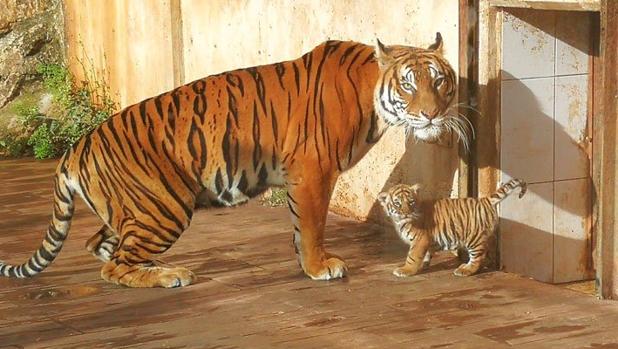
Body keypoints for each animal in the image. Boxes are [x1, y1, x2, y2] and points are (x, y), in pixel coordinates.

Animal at [0, 32, 466, 286]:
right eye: (408, 85)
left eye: (440, 81)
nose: (432, 114)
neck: (373, 95)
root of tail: (75, 148)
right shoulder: (313, 171)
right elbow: (312, 225)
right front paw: (319, 267)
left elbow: (300, 227)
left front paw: (306, 262)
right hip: (164, 206)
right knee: (114, 266)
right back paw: (171, 275)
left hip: (133, 210)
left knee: (100, 245)